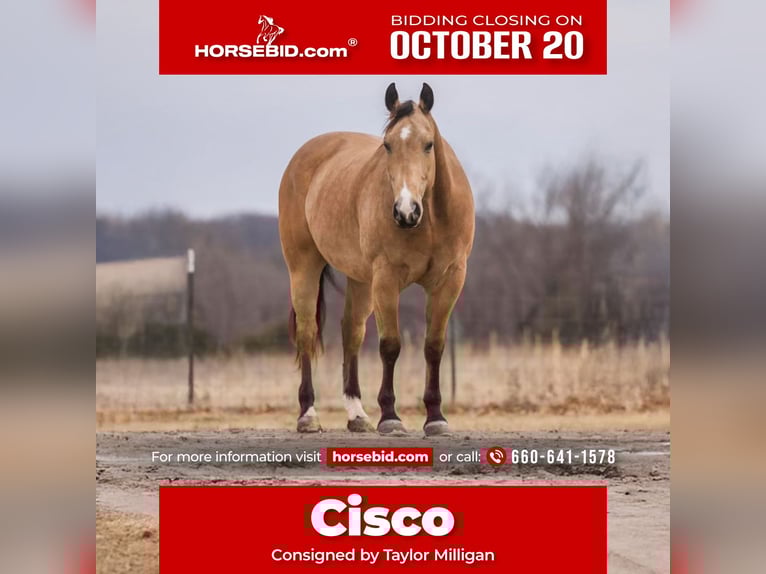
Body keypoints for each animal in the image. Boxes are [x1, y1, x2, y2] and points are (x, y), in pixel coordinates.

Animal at [278, 83, 475, 436]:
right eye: (387, 145)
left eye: (428, 145)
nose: (406, 211)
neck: (430, 220)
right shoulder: (386, 279)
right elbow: (390, 345)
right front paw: (391, 416)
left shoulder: (450, 280)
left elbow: (434, 346)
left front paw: (435, 417)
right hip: (303, 268)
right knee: (307, 333)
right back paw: (308, 415)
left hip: (359, 280)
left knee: (351, 332)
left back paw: (357, 415)